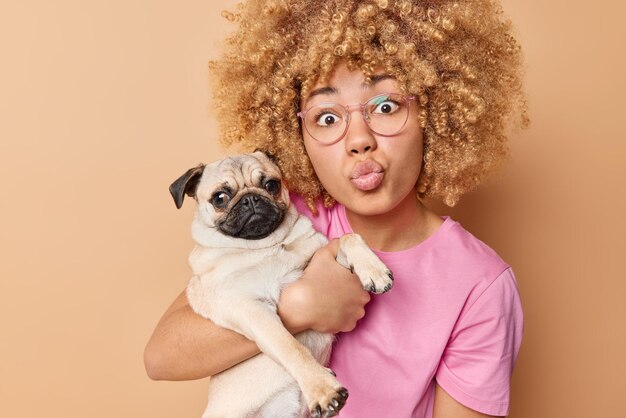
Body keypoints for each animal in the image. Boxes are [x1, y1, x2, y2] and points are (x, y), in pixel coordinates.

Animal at [167, 151, 390, 418]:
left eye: (271, 185)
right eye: (220, 198)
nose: (250, 199)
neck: (266, 246)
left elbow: (348, 237)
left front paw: (373, 270)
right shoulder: (251, 310)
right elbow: (290, 348)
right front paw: (323, 389)